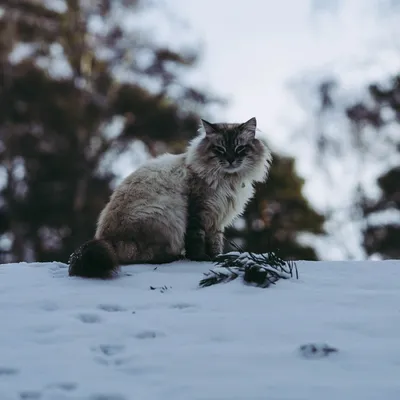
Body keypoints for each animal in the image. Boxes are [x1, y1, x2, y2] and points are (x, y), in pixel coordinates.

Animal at [69, 115, 274, 278]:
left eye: (239, 149)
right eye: (220, 150)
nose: (231, 160)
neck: (228, 181)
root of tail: (106, 239)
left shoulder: (217, 221)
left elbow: (215, 244)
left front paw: (216, 258)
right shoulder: (199, 212)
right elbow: (197, 241)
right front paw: (202, 259)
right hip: (165, 216)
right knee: (141, 257)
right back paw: (173, 257)